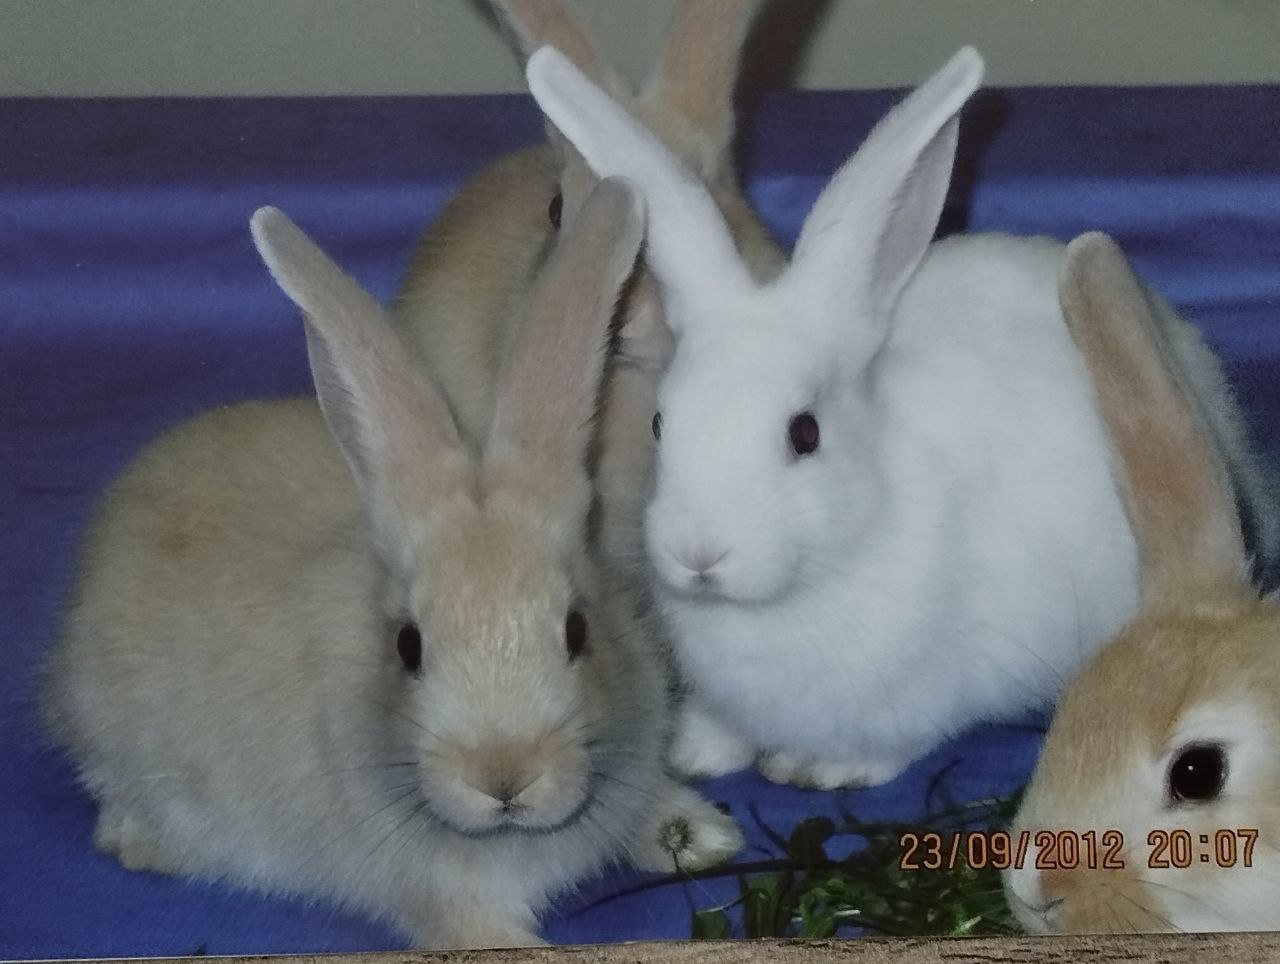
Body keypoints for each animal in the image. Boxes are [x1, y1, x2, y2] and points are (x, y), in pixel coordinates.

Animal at [523, 45, 1280, 790]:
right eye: (660, 425)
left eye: (804, 433)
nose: (698, 555)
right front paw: (697, 754)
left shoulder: (925, 695)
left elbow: (893, 744)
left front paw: (821, 771)